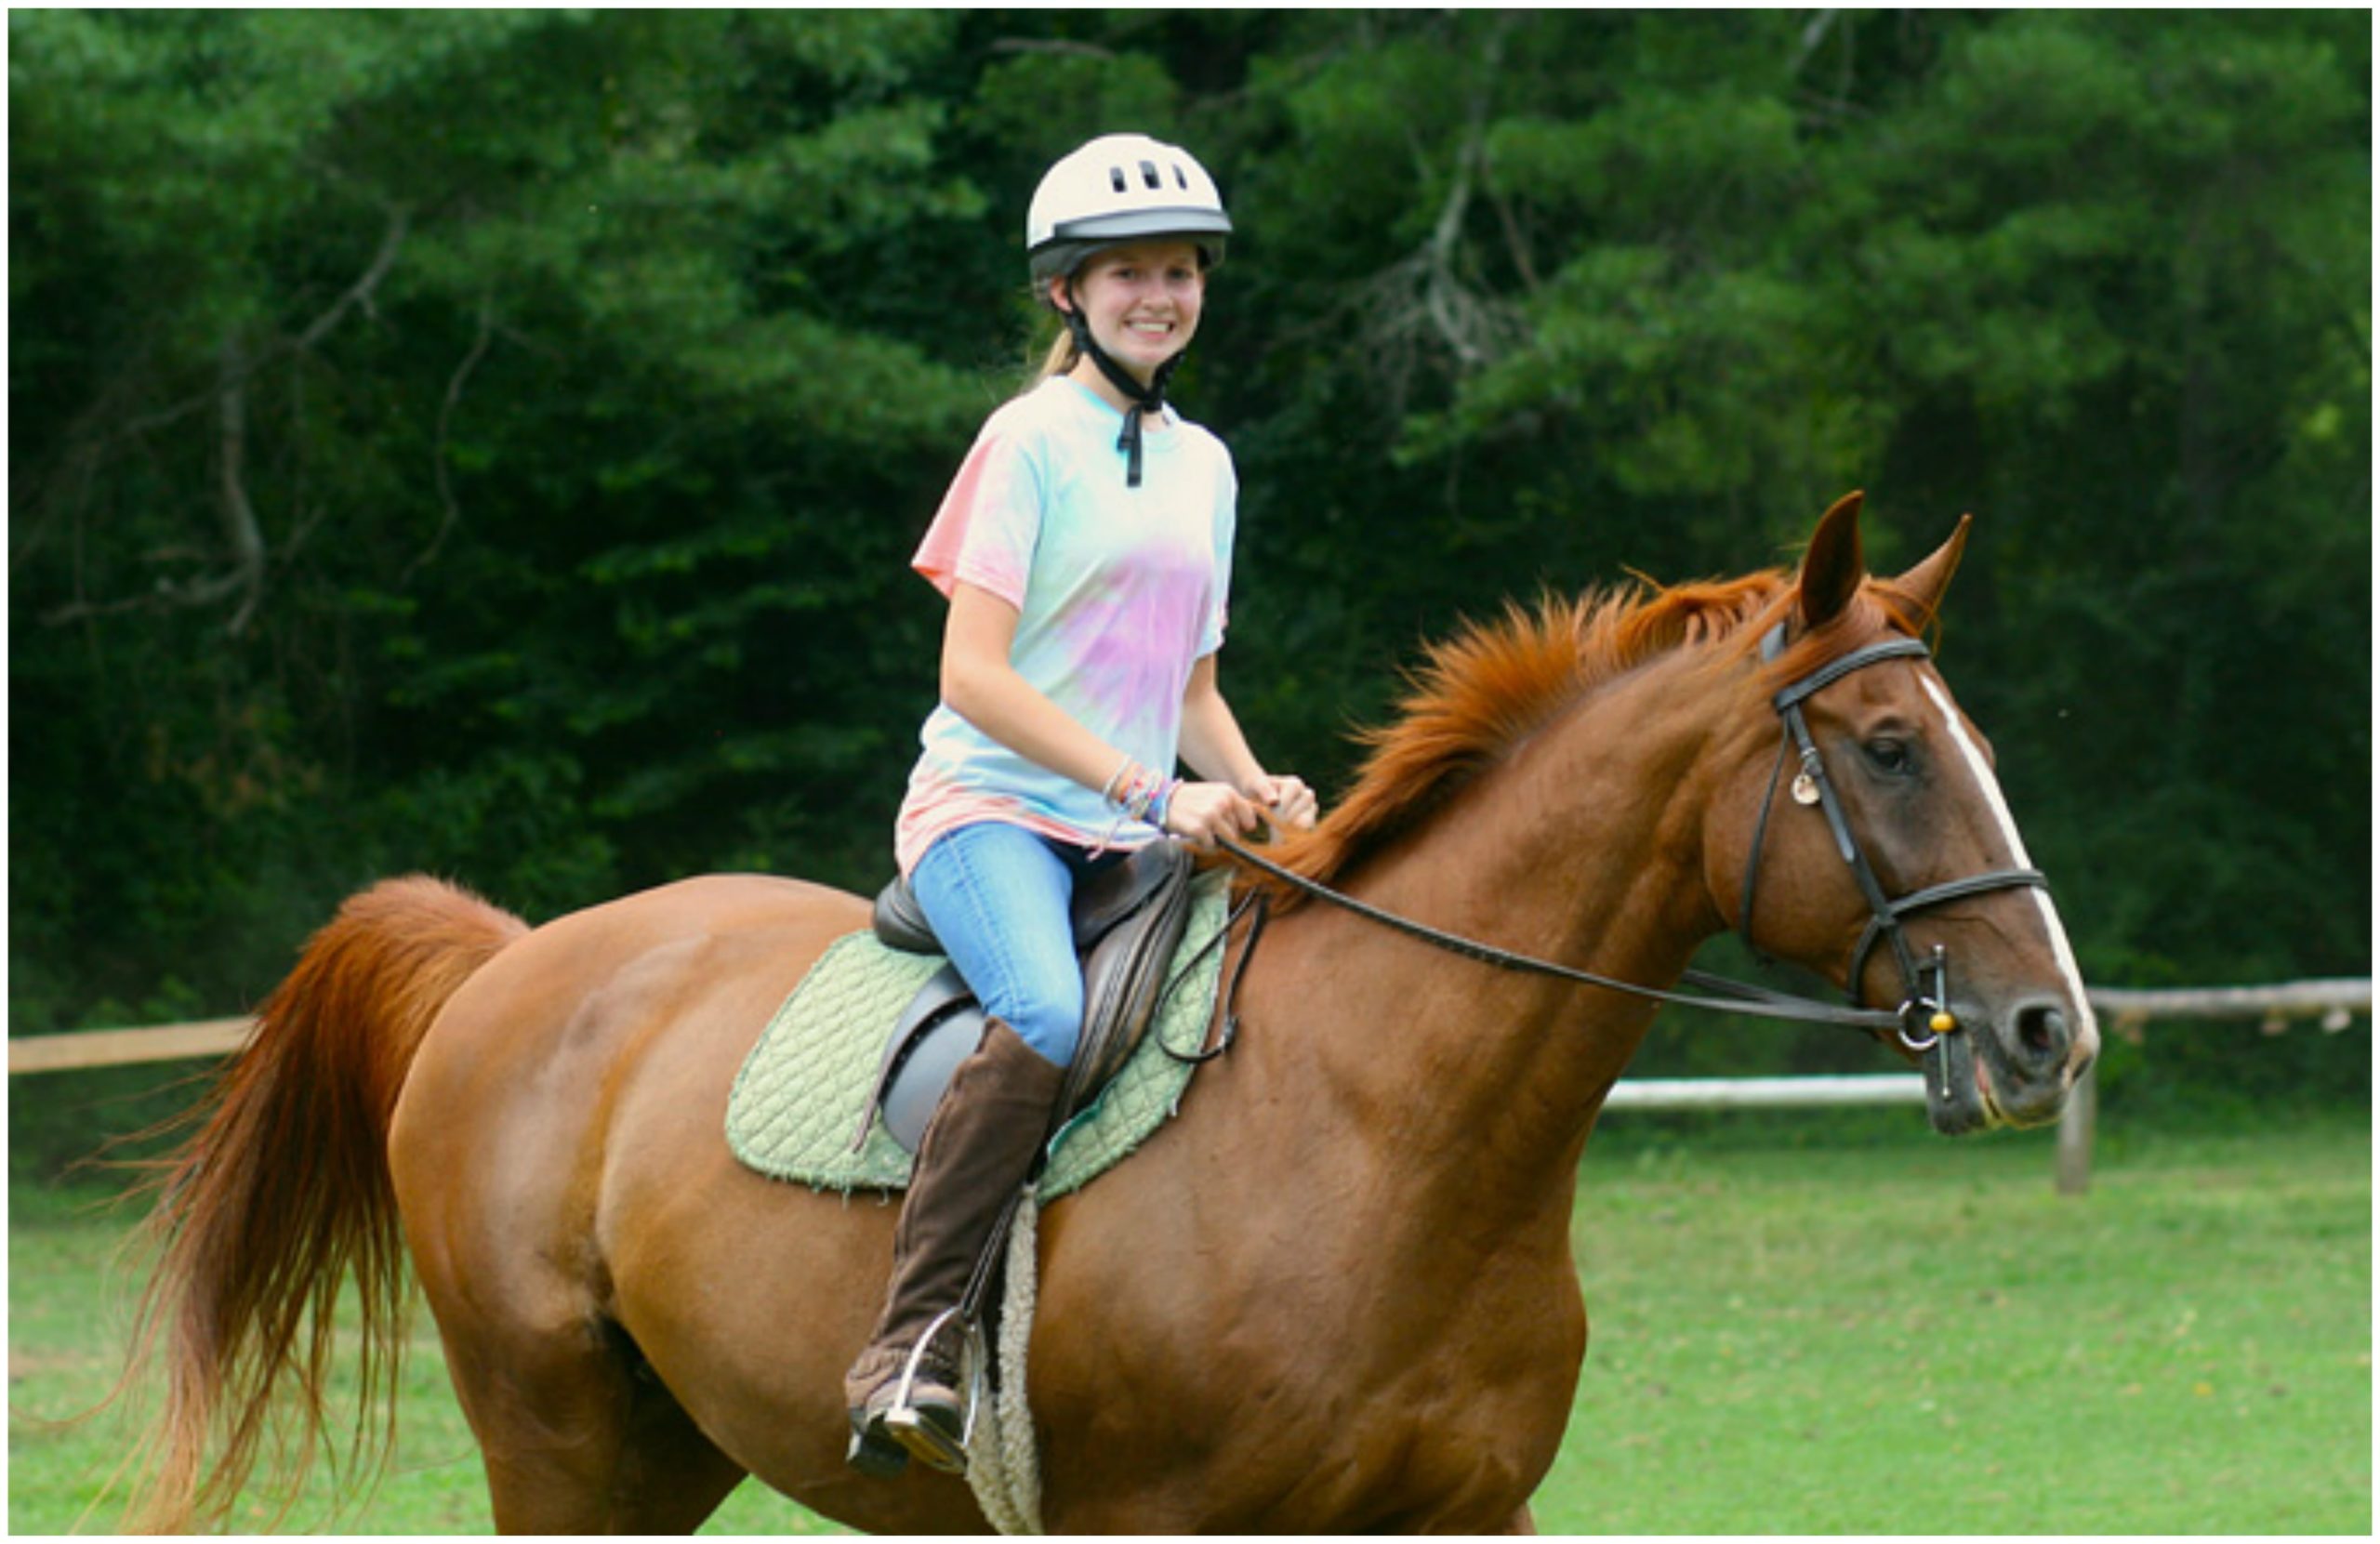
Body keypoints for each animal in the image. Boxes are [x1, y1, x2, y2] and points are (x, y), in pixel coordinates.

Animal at [120, 496, 2094, 1532]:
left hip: (657, 1450)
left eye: (1976, 739)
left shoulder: (1465, 1508)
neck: (1394, 1128)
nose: (2045, 1031)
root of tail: (512, 958)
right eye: (1891, 749)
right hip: (558, 1447)